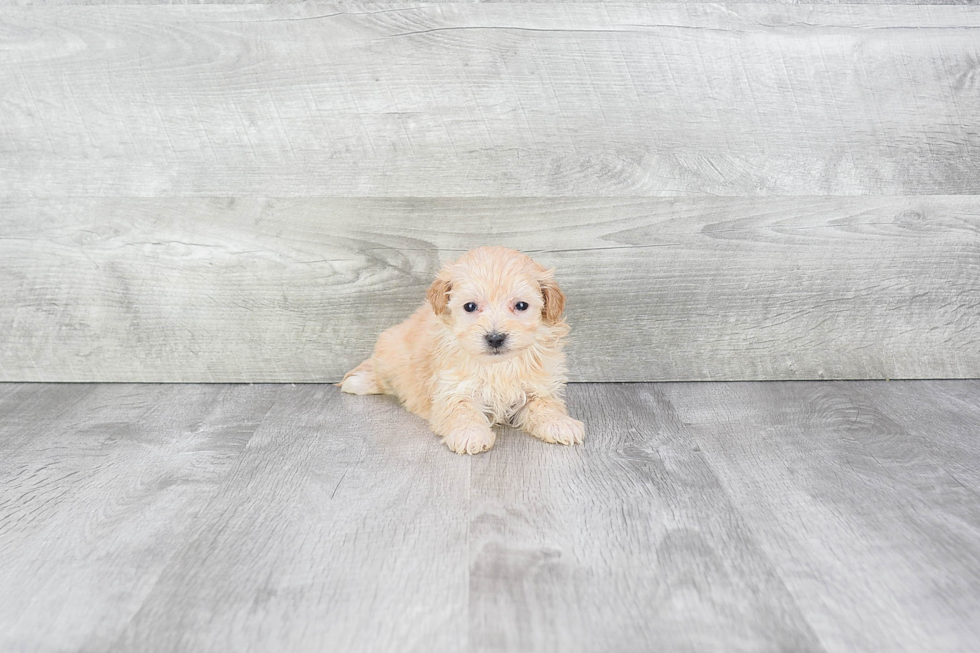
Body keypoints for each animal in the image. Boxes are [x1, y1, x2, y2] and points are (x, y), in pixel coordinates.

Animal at [338, 244, 580, 454]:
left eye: (521, 305)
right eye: (470, 306)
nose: (495, 338)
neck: (497, 366)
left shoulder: (539, 386)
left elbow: (546, 405)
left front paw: (560, 424)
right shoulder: (452, 388)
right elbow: (461, 410)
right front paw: (469, 434)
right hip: (392, 352)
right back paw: (359, 381)